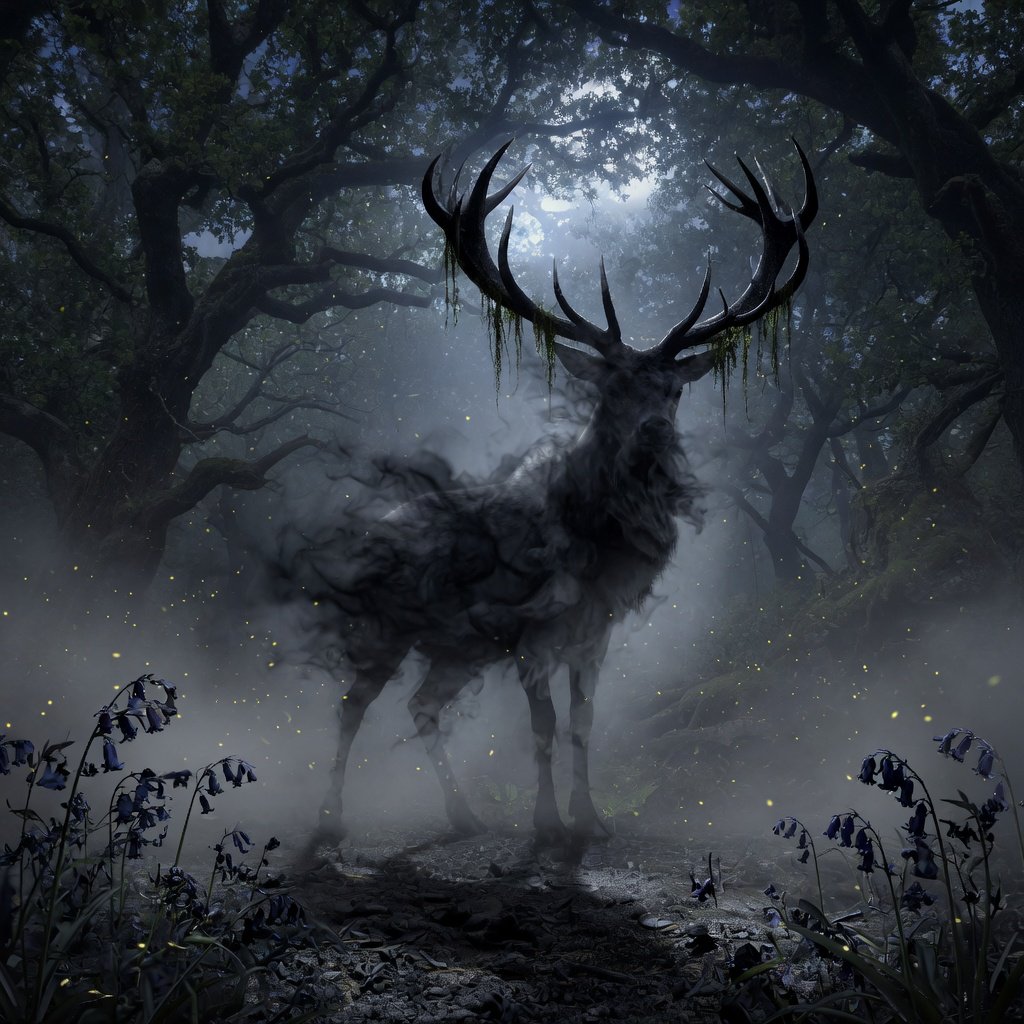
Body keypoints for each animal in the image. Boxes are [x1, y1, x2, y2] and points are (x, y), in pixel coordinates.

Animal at [299, 140, 816, 844]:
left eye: (673, 390)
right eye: (612, 387)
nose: (654, 430)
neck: (592, 545)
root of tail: (375, 531)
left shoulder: (593, 634)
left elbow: (582, 722)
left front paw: (591, 819)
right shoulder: (531, 630)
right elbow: (542, 724)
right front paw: (547, 823)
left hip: (457, 646)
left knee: (421, 704)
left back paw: (464, 815)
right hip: (387, 625)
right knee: (353, 706)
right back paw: (330, 819)